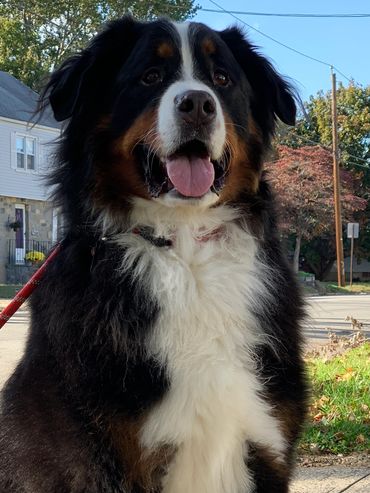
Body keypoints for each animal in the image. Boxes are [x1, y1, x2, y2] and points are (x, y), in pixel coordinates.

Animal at [0, 15, 306, 492]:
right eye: (150, 76)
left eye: (222, 79)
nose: (198, 104)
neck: (185, 250)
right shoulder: (107, 462)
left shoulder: (266, 445)